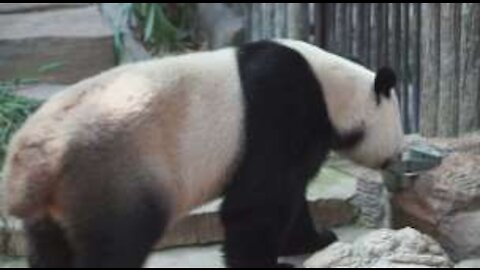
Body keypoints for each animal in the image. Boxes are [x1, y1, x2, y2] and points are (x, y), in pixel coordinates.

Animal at [1, 38, 404, 268]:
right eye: (399, 127)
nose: (396, 162)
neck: (330, 86)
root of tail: (34, 164)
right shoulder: (280, 107)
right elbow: (259, 201)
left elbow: (289, 196)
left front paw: (315, 239)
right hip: (110, 174)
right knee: (115, 245)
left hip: (59, 201)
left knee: (50, 249)